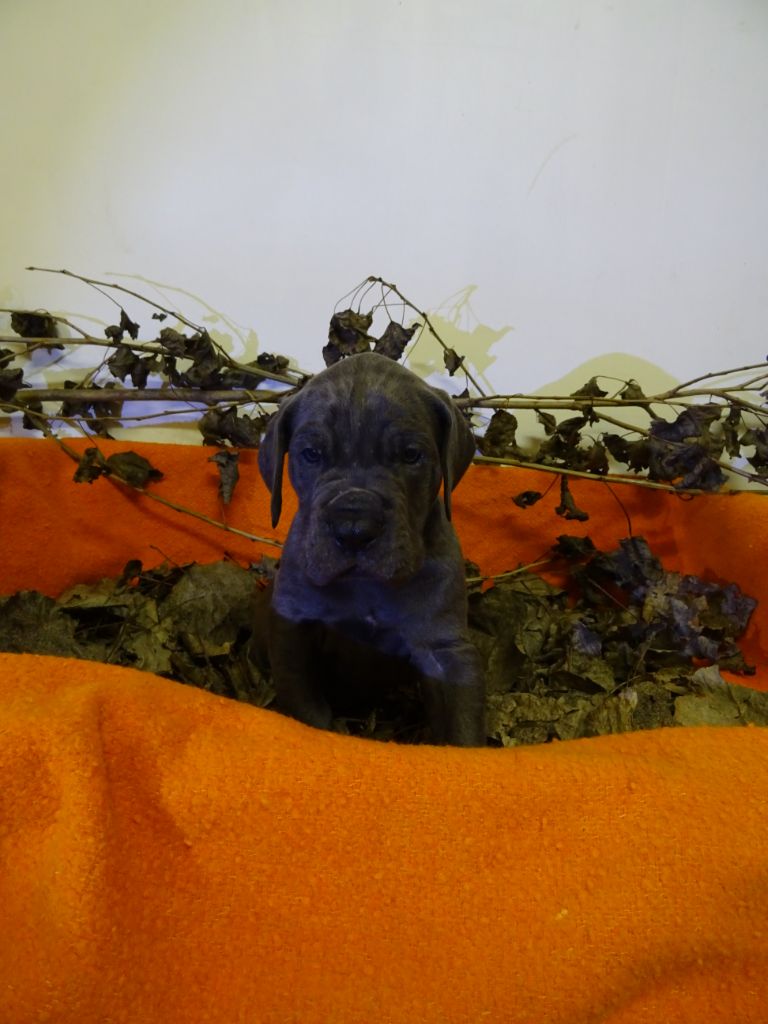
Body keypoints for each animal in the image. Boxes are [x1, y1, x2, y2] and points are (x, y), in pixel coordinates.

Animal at [257, 351, 485, 746]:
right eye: (311, 454)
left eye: (411, 454)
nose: (353, 529)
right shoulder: (293, 624)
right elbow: (306, 707)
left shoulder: (445, 650)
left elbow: (463, 728)